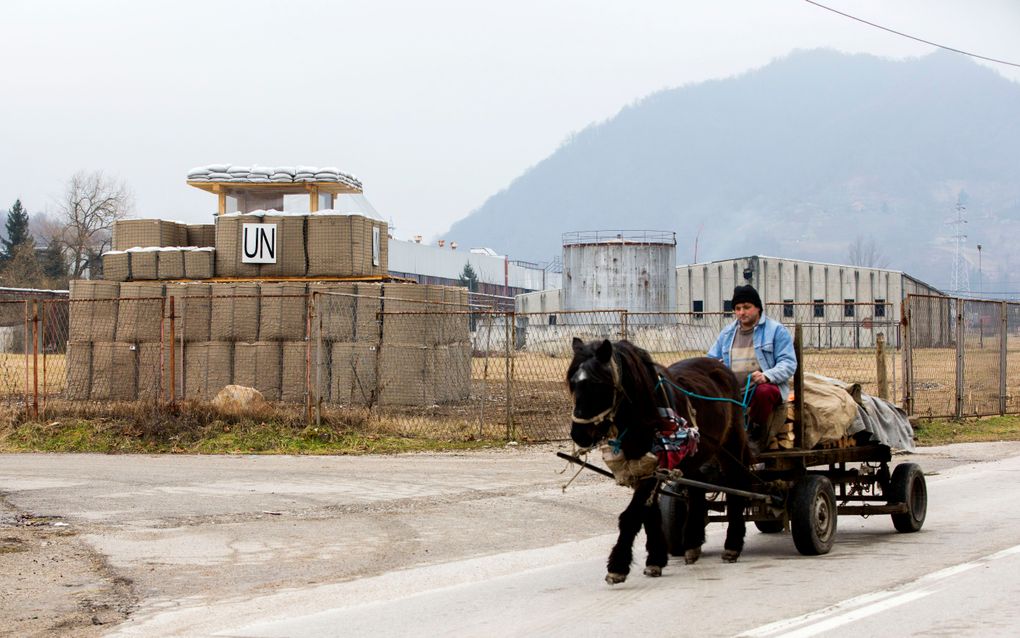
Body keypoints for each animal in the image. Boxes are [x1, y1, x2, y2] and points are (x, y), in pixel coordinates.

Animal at [567, 338, 758, 583]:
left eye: (598, 384)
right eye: (573, 383)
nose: (579, 434)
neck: (645, 412)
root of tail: (722, 368)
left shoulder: (655, 465)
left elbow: (632, 515)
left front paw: (618, 565)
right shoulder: (641, 466)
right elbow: (649, 513)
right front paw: (656, 559)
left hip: (730, 444)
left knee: (737, 485)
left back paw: (732, 545)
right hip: (695, 456)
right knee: (697, 489)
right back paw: (692, 542)